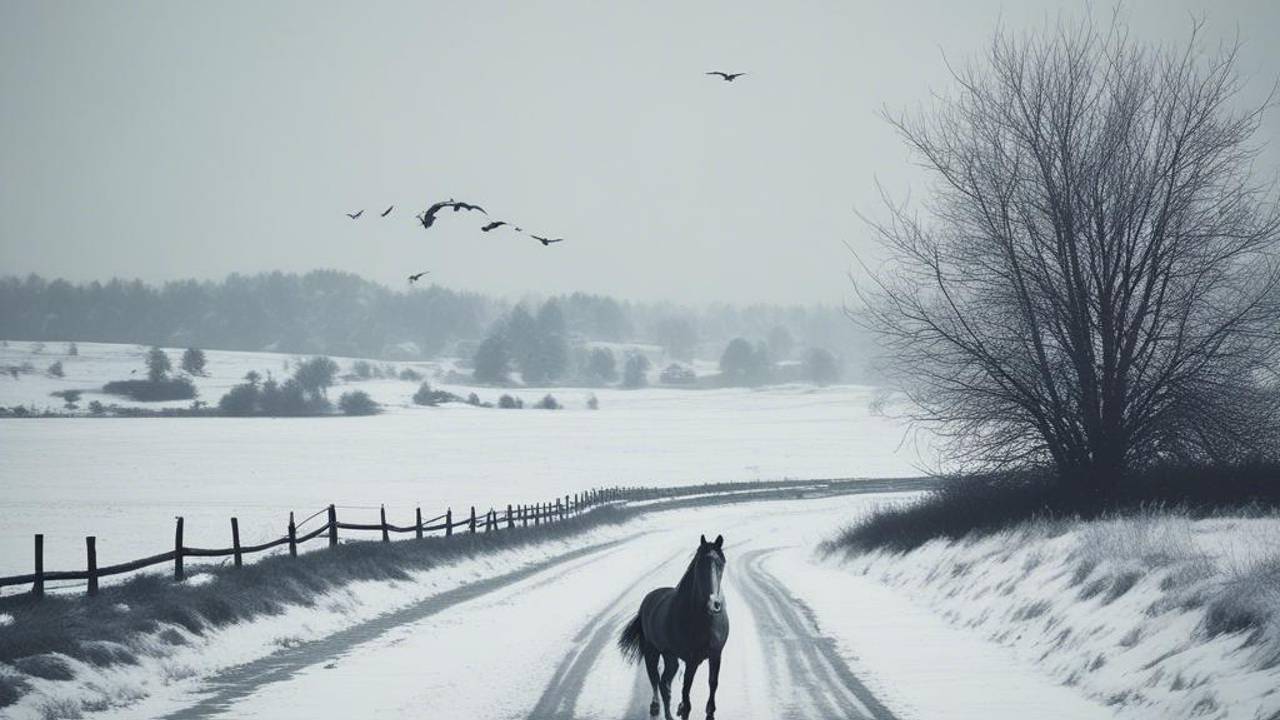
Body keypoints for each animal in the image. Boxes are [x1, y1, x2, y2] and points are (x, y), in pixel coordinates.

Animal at [619, 530, 732, 712]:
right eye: (700, 564)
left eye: (721, 563)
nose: (714, 604)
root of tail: (648, 600)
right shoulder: (691, 661)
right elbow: (686, 691)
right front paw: (683, 707)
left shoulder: (716, 655)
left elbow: (713, 683)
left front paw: (710, 707)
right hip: (652, 652)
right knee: (655, 678)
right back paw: (655, 705)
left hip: (670, 658)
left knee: (664, 682)